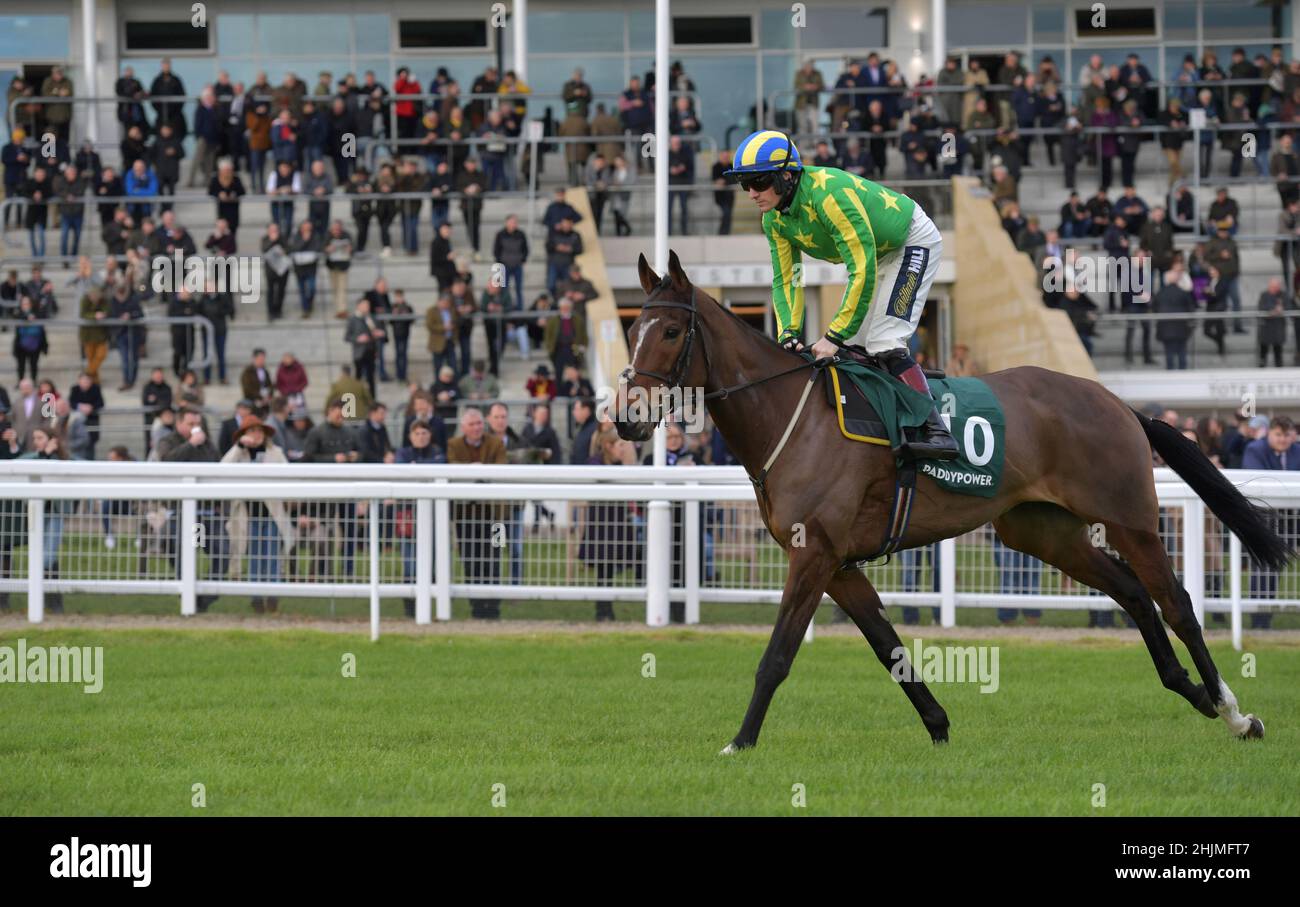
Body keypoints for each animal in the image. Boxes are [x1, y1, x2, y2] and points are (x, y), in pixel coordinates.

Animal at [616, 250, 1289, 753]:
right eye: (631, 329)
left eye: (671, 331)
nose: (626, 419)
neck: (793, 416)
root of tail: (1121, 404)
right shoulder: (839, 564)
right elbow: (888, 647)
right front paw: (939, 727)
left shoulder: (814, 555)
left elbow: (777, 656)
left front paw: (740, 742)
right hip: (1044, 532)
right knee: (1132, 594)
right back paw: (1192, 692)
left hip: (1130, 518)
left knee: (1176, 603)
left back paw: (1234, 712)